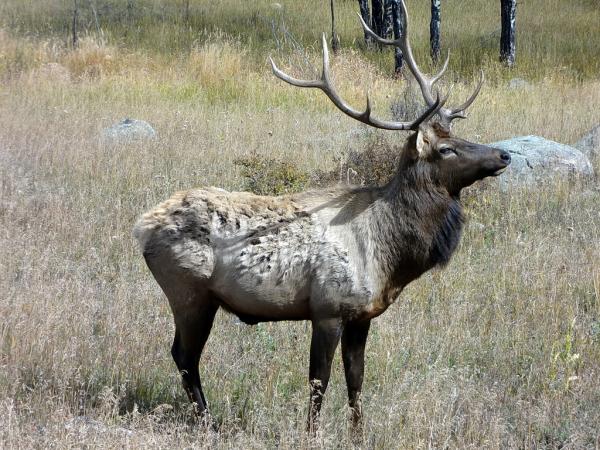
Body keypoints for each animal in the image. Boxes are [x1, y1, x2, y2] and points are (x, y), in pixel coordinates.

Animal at [133, 0, 510, 435]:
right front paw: (311, 433)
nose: (504, 154)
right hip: (189, 292)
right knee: (184, 356)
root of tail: (141, 227)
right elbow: (319, 380)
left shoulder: (363, 314)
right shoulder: (327, 307)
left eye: (460, 136)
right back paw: (208, 422)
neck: (389, 256)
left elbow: (356, 378)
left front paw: (359, 434)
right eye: (446, 149)